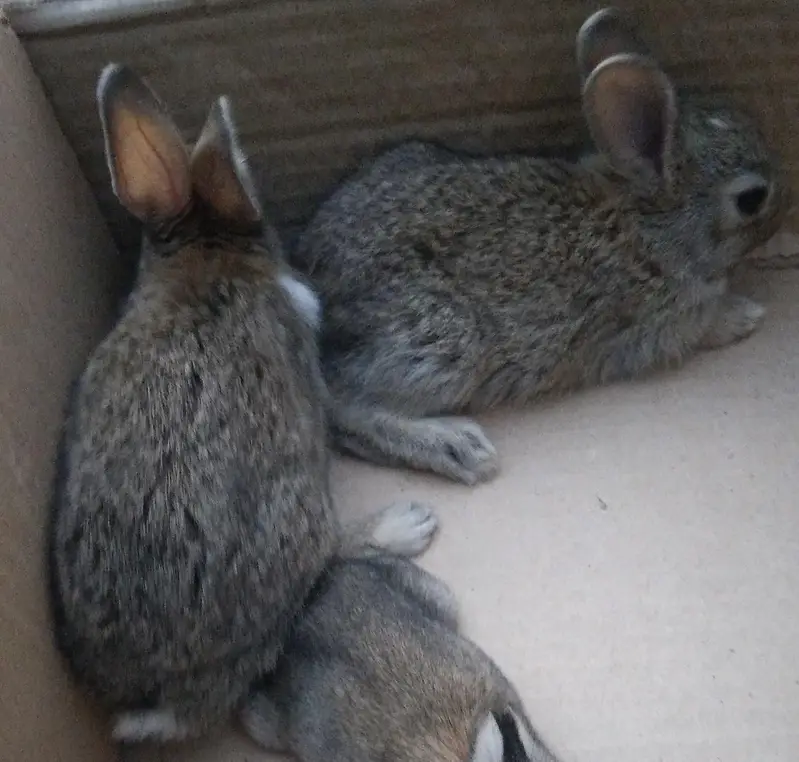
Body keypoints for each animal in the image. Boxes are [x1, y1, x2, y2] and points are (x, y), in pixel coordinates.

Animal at [292, 7, 790, 487]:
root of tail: (313, 274)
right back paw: (459, 448)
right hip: (442, 343)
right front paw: (745, 315)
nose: (786, 207)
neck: (652, 224)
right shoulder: (659, 325)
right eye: (752, 199)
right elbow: (703, 326)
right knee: (344, 407)